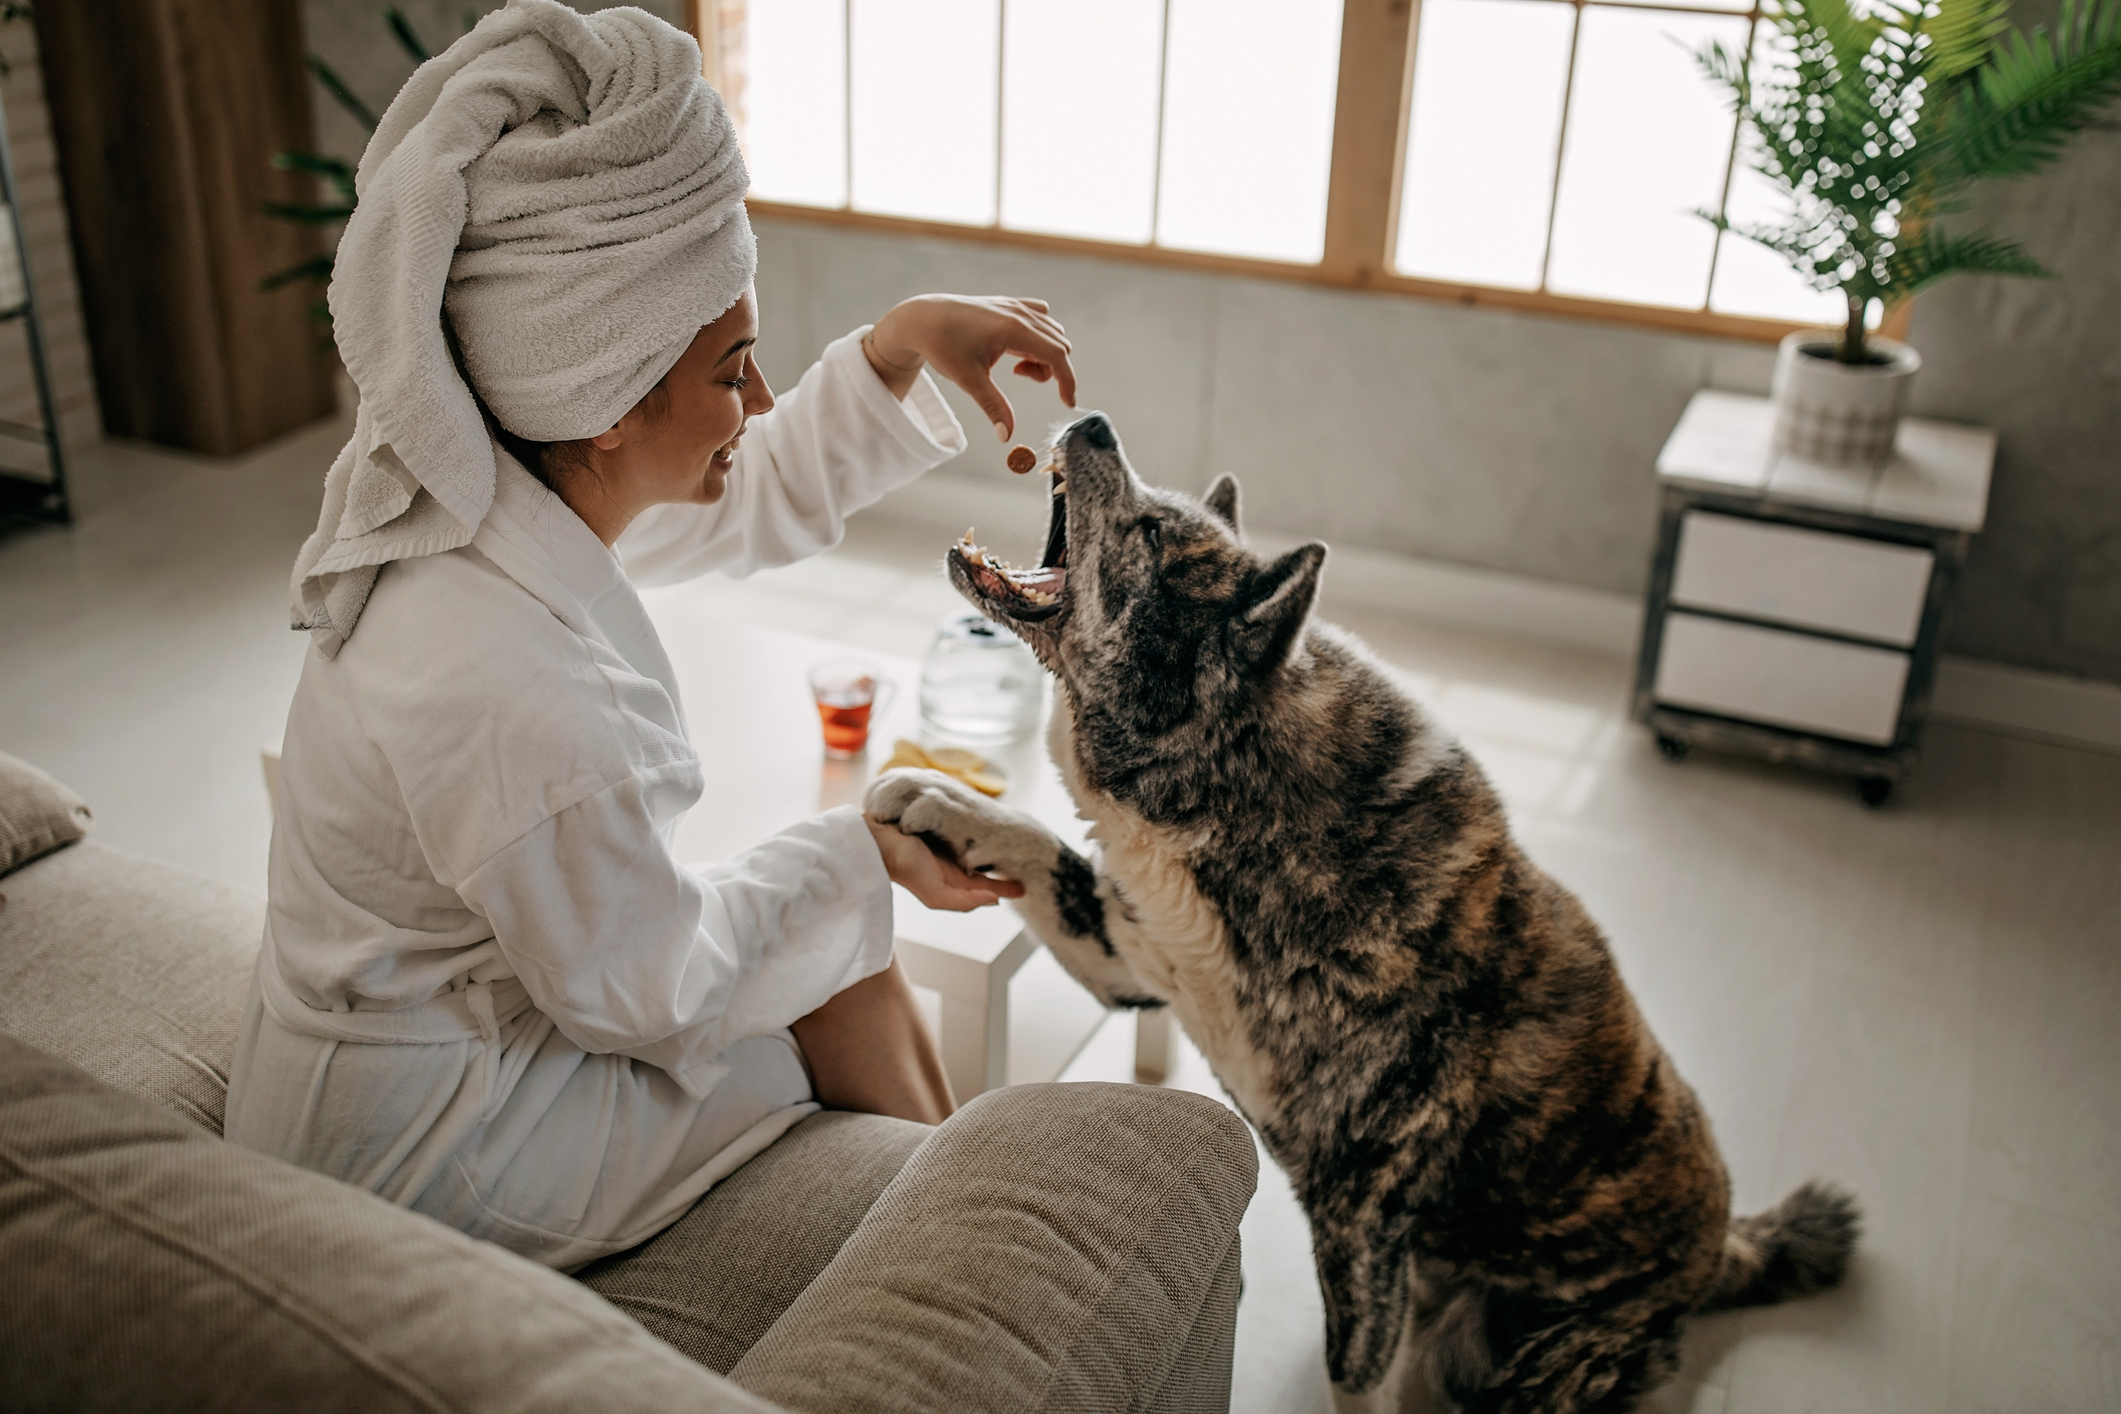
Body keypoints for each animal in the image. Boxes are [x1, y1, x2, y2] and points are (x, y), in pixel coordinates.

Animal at [861, 411, 1857, 1414]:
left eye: (1150, 533)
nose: (1094, 422)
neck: (1240, 787)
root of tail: (1716, 1249)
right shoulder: (1126, 962)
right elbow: (1033, 843)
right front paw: (940, 798)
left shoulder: (1361, 1226)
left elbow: (1353, 1375)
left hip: (1528, 1362)